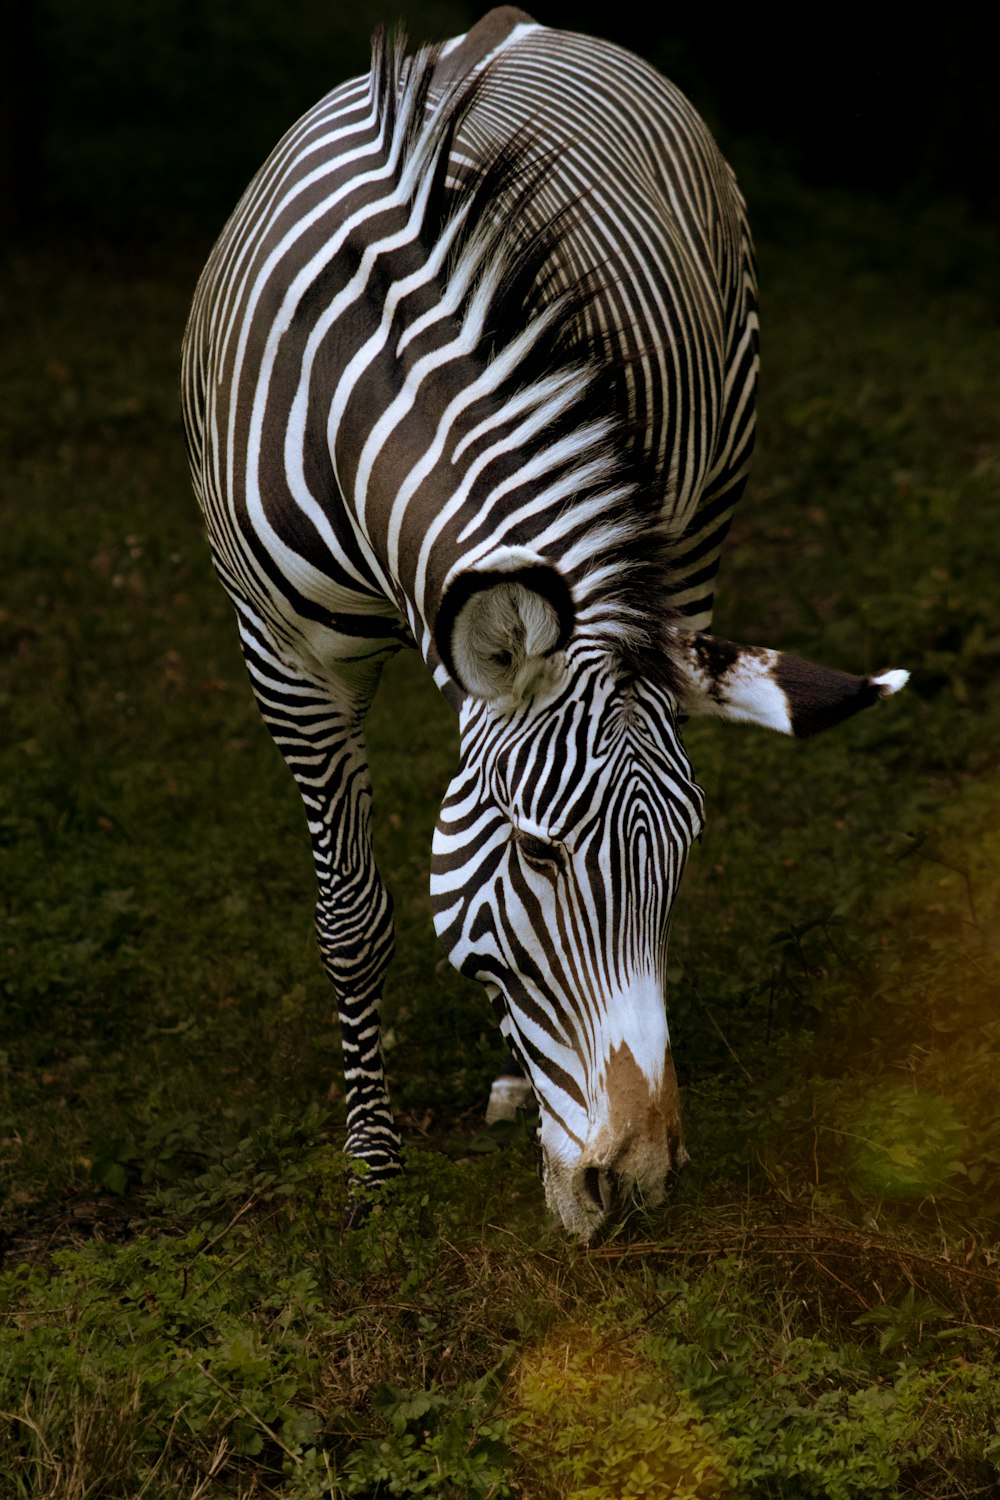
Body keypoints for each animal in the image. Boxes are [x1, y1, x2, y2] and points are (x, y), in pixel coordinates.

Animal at [179, 5, 905, 1236]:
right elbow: (351, 910)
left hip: (699, 512)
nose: (641, 1183)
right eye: (533, 849)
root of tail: (516, 24)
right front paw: (372, 1167)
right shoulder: (285, 654)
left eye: (685, 856)